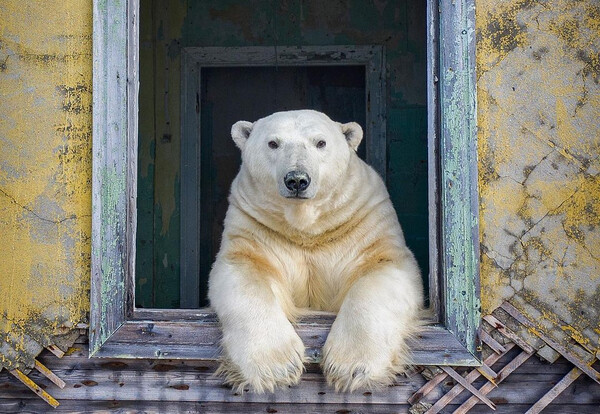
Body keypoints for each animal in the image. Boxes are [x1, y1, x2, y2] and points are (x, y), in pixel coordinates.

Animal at [209, 109, 424, 392]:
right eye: (273, 143)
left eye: (320, 142)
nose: (297, 180)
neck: (307, 229)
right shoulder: (255, 226)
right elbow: (244, 271)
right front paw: (277, 367)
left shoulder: (363, 221)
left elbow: (382, 269)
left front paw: (351, 367)